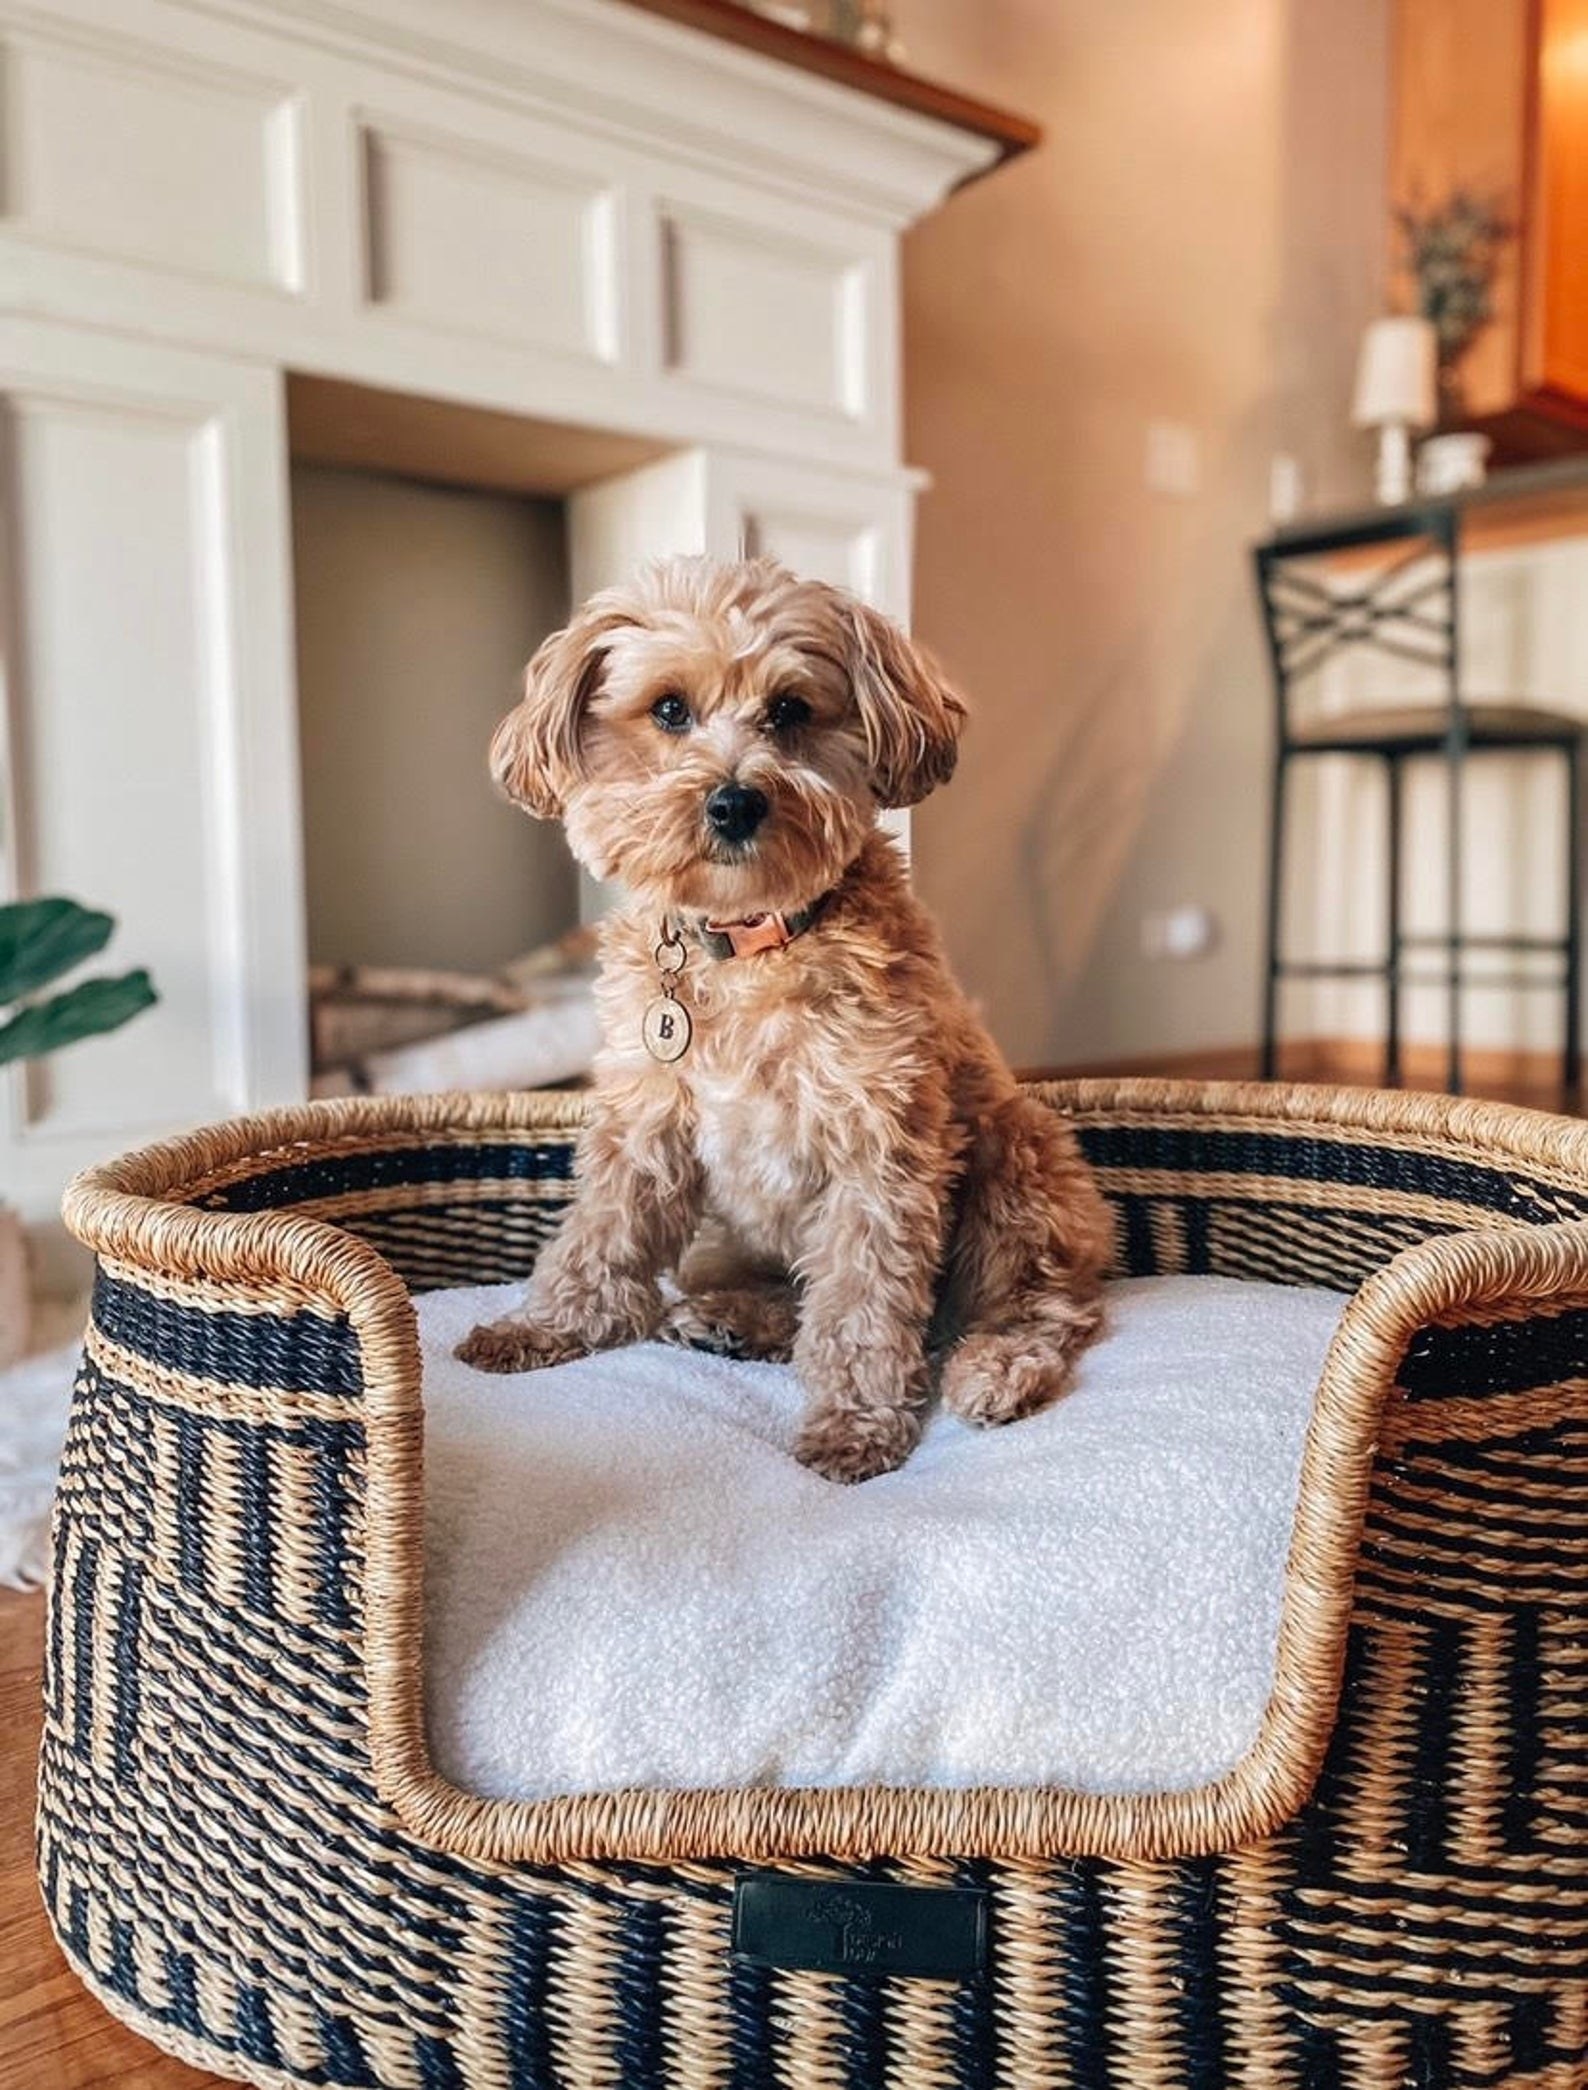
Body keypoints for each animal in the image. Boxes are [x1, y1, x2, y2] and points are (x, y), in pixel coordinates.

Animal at [453, 547, 1111, 1479]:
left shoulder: (881, 1147)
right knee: (780, 1295)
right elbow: (599, 1233)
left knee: (1042, 1309)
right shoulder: (646, 1122)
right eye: (669, 709)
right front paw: (546, 1326)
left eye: (791, 710)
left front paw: (856, 1424)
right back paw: (730, 1320)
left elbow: (863, 1301)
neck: (747, 944)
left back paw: (995, 1369)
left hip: (1019, 1163)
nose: (735, 802)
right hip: (725, 1239)